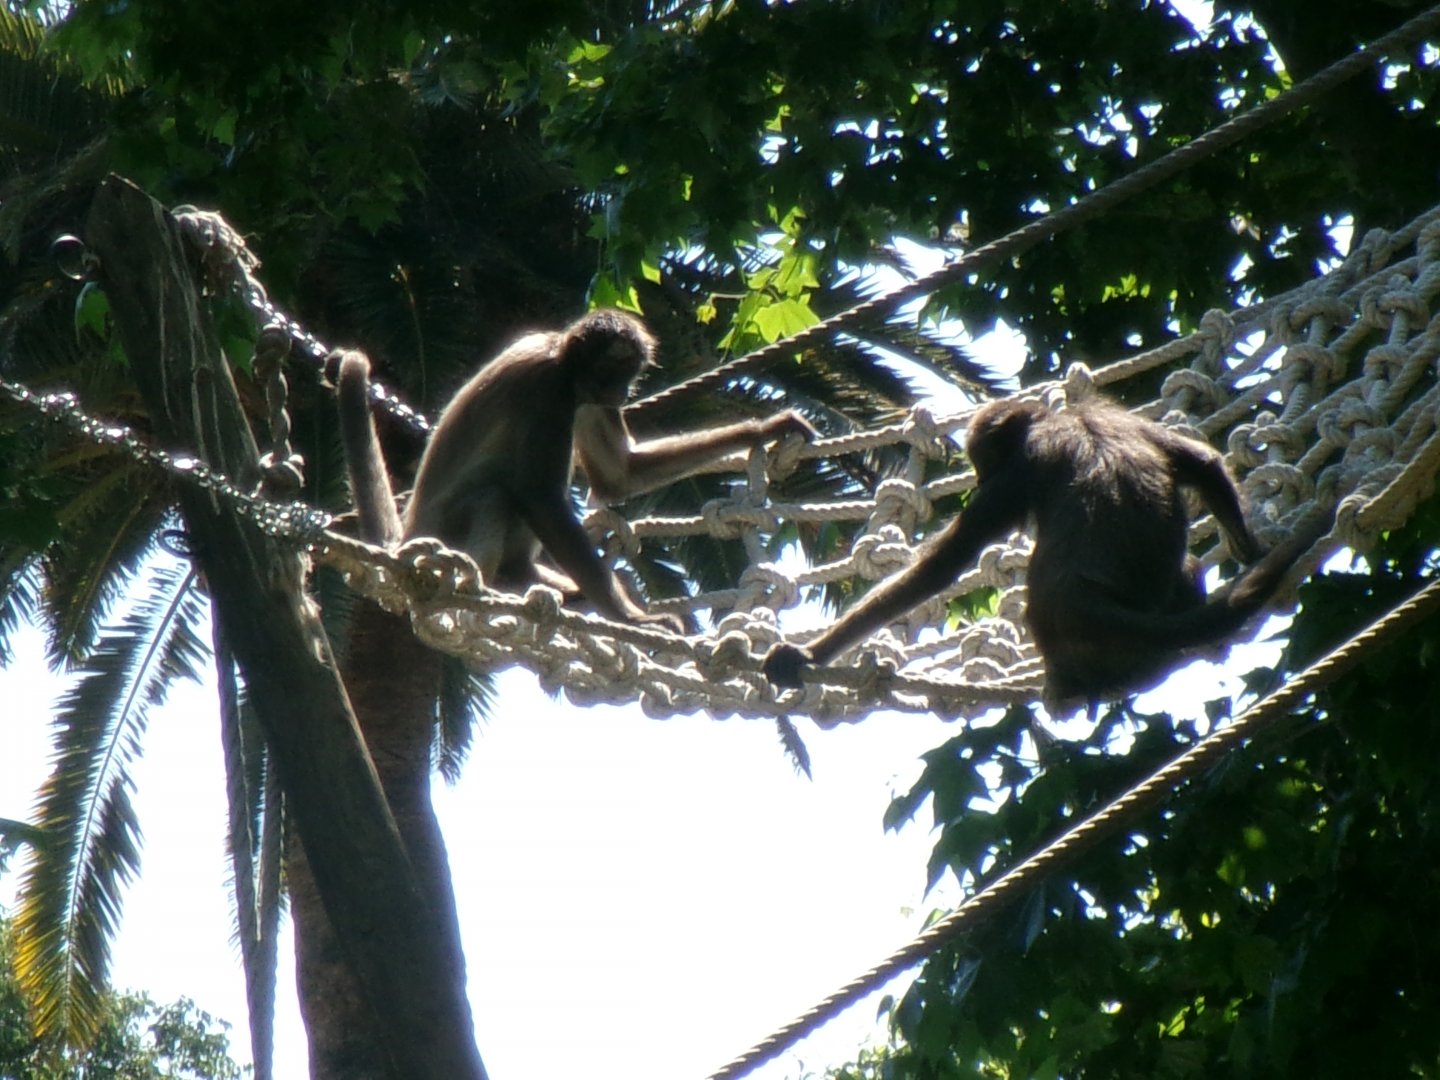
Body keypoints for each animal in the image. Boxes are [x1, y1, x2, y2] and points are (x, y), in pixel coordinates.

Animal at [335, 308, 817, 631]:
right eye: (614, 369)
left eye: (631, 372)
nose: (623, 392)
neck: (560, 358)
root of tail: (410, 531)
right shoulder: (549, 390)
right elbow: (541, 498)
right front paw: (629, 618)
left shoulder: (584, 398)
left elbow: (619, 474)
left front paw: (764, 428)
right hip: (445, 527)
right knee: (500, 494)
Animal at [762, 394, 1323, 707]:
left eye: (983, 463)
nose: (977, 478)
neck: (1058, 421)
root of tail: (1100, 612)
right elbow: (1201, 462)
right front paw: (1251, 548)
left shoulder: (1016, 473)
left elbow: (941, 568)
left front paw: (806, 653)